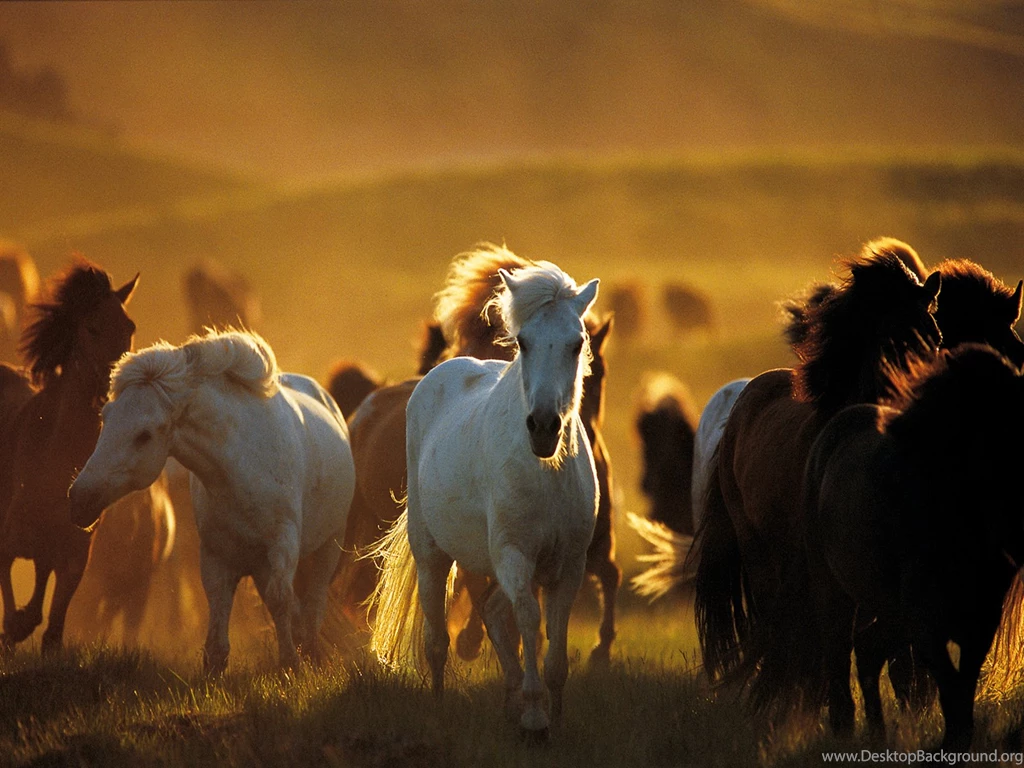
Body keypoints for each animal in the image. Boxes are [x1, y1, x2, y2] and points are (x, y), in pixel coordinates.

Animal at [0, 258, 138, 653]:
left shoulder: (75, 553)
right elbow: (12, 603)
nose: (116, 386)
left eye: (129, 328)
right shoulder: (8, 541)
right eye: (91, 327)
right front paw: (13, 629)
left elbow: (52, 628)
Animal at [67, 329, 356, 673]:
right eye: (105, 417)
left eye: (144, 434)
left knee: (314, 600)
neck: (239, 466)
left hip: (330, 544)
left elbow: (280, 599)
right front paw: (215, 667)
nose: (79, 498)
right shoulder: (217, 553)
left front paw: (291, 663)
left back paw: (310, 648)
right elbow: (219, 604)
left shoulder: (282, 544)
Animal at [367, 262, 599, 737]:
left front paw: (553, 712)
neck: (546, 474)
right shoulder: (514, 555)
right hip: (432, 556)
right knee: (438, 641)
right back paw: (440, 705)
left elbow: (555, 641)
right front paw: (535, 715)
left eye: (577, 343)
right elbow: (527, 619)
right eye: (524, 342)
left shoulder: (569, 565)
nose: (544, 426)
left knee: (491, 613)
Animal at [746, 344, 1024, 751]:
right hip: (836, 591)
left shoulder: (980, 619)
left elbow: (962, 686)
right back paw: (844, 726)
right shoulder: (925, 621)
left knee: (867, 650)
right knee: (840, 650)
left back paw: (876, 729)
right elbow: (948, 685)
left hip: (889, 610)